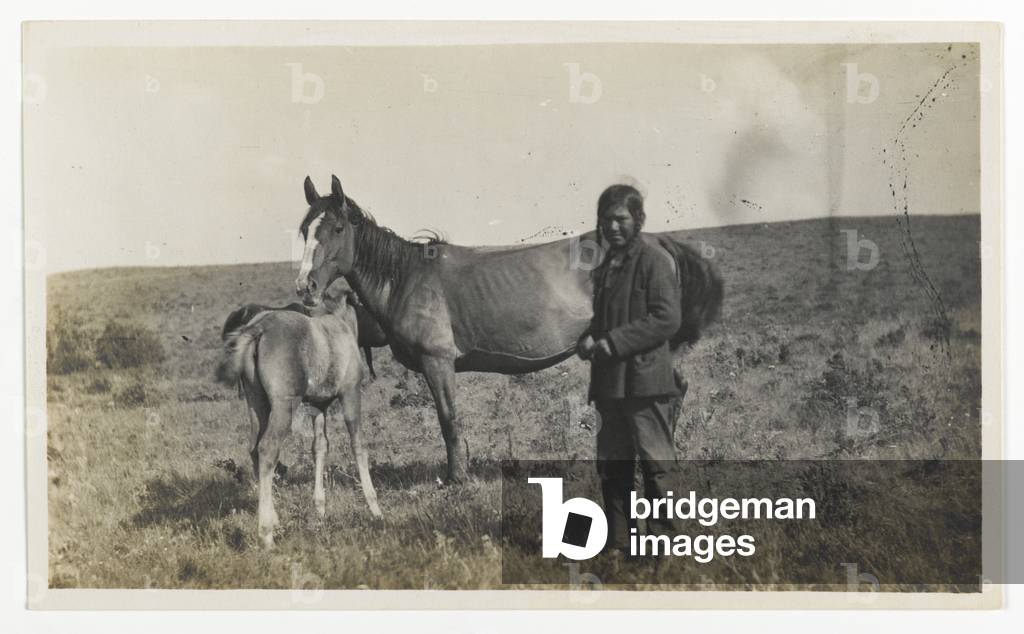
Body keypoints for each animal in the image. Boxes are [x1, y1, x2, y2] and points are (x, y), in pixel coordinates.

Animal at [217, 284, 381, 548]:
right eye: (365, 305)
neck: (340, 326)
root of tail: (258, 328)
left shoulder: (319, 406)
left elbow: (320, 447)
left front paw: (320, 509)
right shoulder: (351, 394)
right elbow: (358, 444)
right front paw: (375, 508)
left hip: (256, 403)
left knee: (254, 449)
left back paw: (274, 519)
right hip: (284, 406)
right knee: (267, 449)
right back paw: (266, 533)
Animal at [294, 175, 723, 484]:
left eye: (336, 228)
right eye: (304, 230)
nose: (305, 287)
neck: (406, 278)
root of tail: (659, 245)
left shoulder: (438, 362)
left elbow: (449, 420)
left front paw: (458, 479)